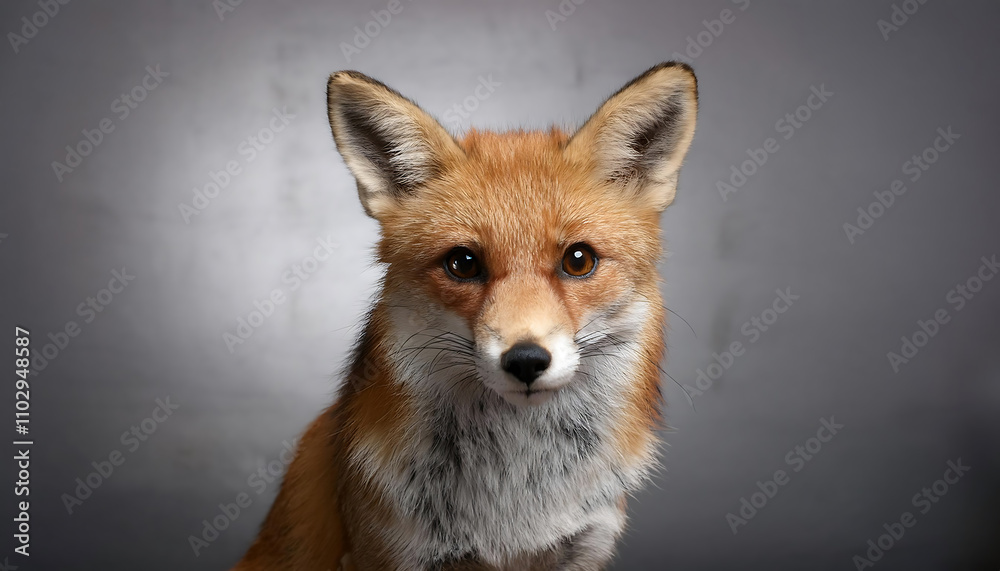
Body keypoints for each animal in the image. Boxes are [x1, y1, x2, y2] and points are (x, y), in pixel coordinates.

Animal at [235, 61, 698, 570]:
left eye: (578, 261)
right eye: (462, 263)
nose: (526, 360)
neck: (518, 494)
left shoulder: (584, 546)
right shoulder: (390, 552)